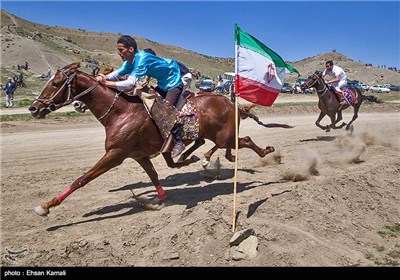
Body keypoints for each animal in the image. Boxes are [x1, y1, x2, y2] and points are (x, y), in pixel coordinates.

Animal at [28, 63, 288, 217]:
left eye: (55, 83)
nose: (33, 108)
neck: (121, 112)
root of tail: (232, 103)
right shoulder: (138, 155)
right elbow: (154, 175)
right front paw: (160, 199)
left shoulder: (115, 154)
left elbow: (82, 179)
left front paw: (47, 206)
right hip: (216, 135)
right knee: (220, 144)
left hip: (224, 136)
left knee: (245, 140)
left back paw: (264, 153)